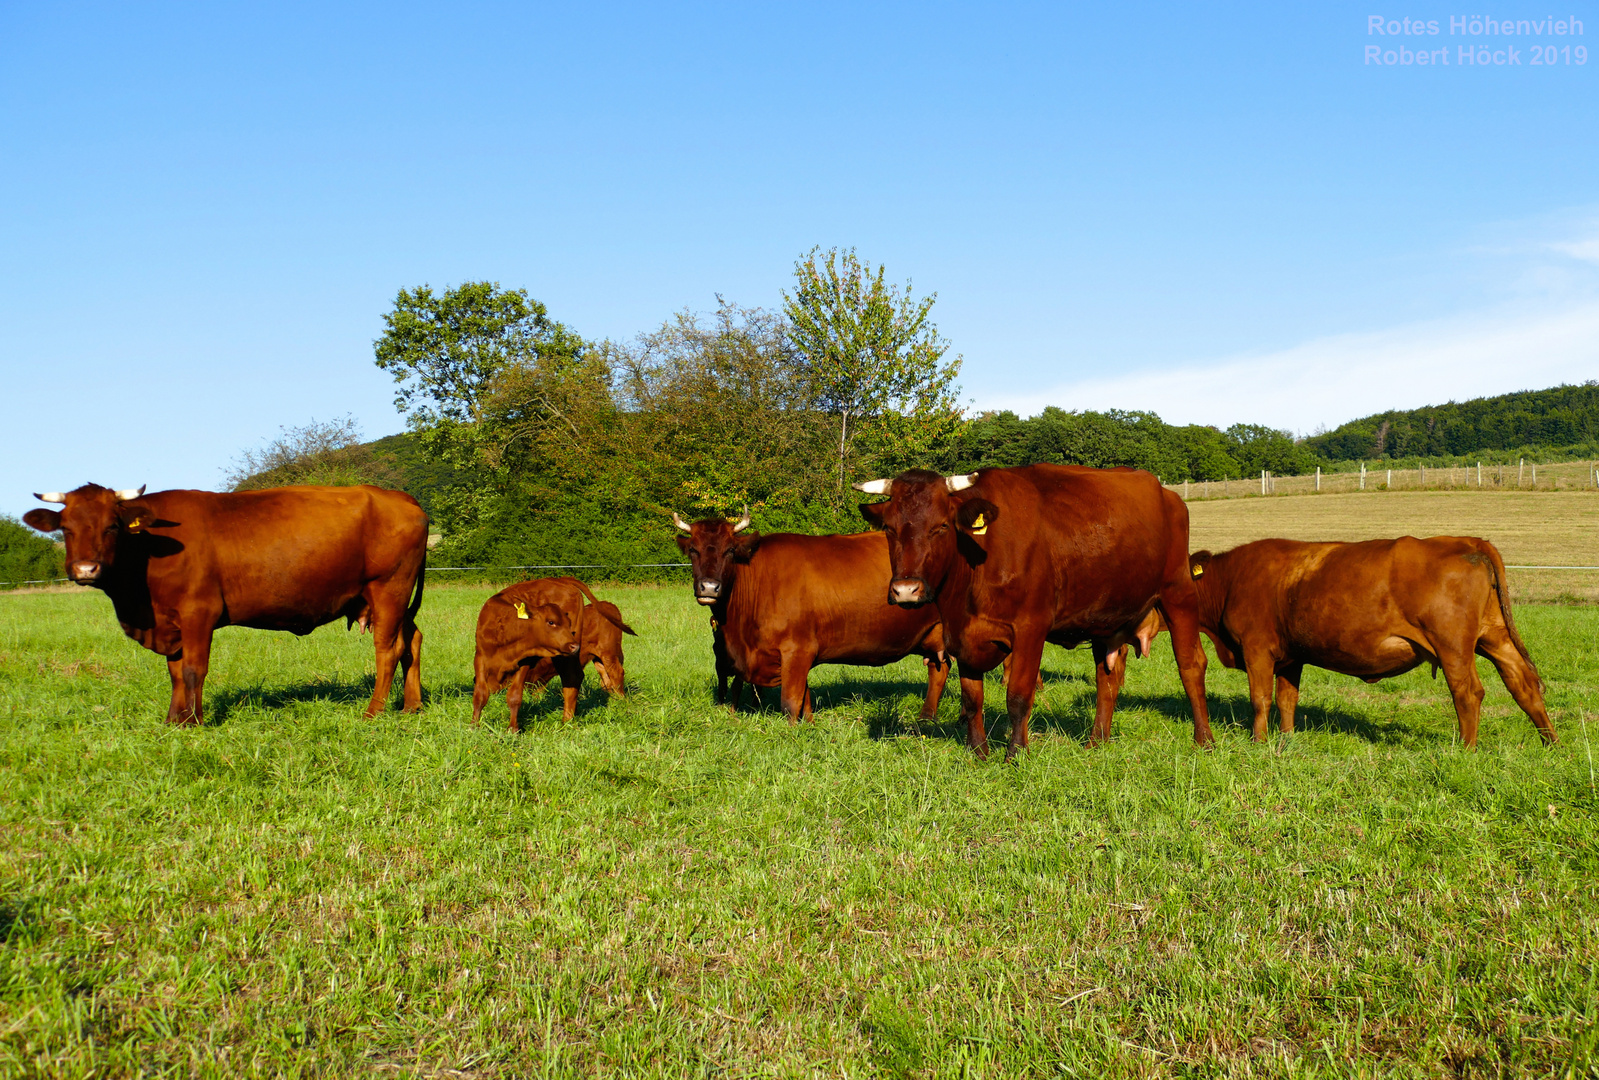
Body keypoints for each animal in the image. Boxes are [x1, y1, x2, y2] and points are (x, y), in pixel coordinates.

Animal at [26, 483, 425, 726]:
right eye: (65, 528)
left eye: (112, 526)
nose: (85, 569)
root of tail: (399, 496)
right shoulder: (170, 621)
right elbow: (174, 673)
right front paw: (174, 721)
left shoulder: (198, 613)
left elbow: (193, 670)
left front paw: (195, 722)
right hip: (395, 600)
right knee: (412, 641)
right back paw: (411, 707)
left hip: (389, 589)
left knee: (388, 651)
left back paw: (373, 712)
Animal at [668, 508, 940, 726]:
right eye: (693, 550)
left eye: (730, 550)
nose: (709, 587)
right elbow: (804, 698)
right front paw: (809, 724)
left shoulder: (797, 649)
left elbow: (790, 701)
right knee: (938, 671)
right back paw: (926, 719)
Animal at [863, 467, 1208, 761]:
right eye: (889, 529)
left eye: (941, 526)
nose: (906, 590)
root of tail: (1167, 493)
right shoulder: (961, 635)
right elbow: (972, 699)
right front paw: (978, 753)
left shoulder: (1031, 628)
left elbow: (1018, 696)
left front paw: (1016, 754)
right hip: (1106, 618)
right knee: (1106, 678)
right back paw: (1096, 742)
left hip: (1179, 592)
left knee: (1191, 666)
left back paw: (1204, 740)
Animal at [1196, 537, 1554, 748]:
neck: (1230, 579)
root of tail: (1467, 540)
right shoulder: (1291, 657)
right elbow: (1287, 699)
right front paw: (1286, 739)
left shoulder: (1256, 649)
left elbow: (1260, 699)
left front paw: (1259, 743)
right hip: (1494, 636)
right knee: (1523, 684)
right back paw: (1551, 742)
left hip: (1453, 647)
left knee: (1467, 694)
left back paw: (1466, 749)